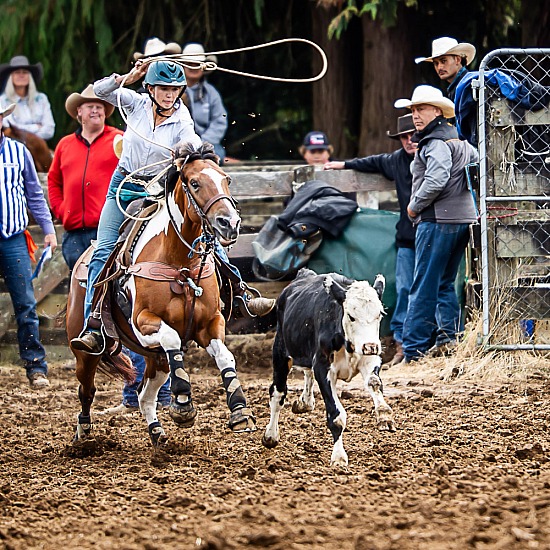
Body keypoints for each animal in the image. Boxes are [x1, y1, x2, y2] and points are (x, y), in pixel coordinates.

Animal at [67, 143, 256, 448]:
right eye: (195, 183)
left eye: (226, 179)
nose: (230, 223)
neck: (179, 263)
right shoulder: (142, 321)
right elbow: (172, 338)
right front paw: (183, 403)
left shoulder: (210, 323)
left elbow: (225, 356)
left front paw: (239, 409)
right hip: (84, 351)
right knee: (87, 389)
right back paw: (83, 435)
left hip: (155, 359)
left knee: (144, 395)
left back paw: (157, 434)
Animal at [264, 270, 396, 468]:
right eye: (351, 315)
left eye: (379, 314)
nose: (370, 346)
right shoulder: (323, 367)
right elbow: (336, 416)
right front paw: (339, 457)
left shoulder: (369, 359)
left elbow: (374, 382)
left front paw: (385, 415)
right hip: (281, 352)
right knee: (278, 394)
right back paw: (271, 435)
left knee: (306, 373)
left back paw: (305, 402)